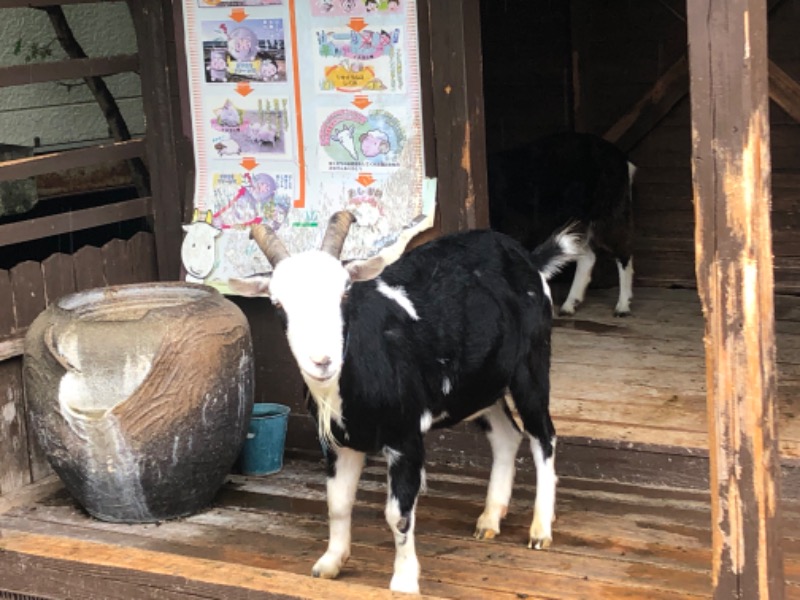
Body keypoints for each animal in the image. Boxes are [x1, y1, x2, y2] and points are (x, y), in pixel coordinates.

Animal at [228, 213, 580, 592]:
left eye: (345, 292)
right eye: (277, 303)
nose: (322, 361)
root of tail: (528, 259)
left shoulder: (405, 437)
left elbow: (398, 515)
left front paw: (404, 581)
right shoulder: (338, 442)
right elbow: (337, 503)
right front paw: (330, 563)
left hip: (531, 364)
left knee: (543, 436)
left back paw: (540, 528)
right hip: (481, 385)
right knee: (506, 436)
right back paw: (489, 518)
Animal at [488, 131, 636, 316]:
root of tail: (622, 159)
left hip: (610, 212)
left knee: (623, 250)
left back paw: (623, 305)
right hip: (577, 222)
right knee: (588, 256)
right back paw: (569, 305)